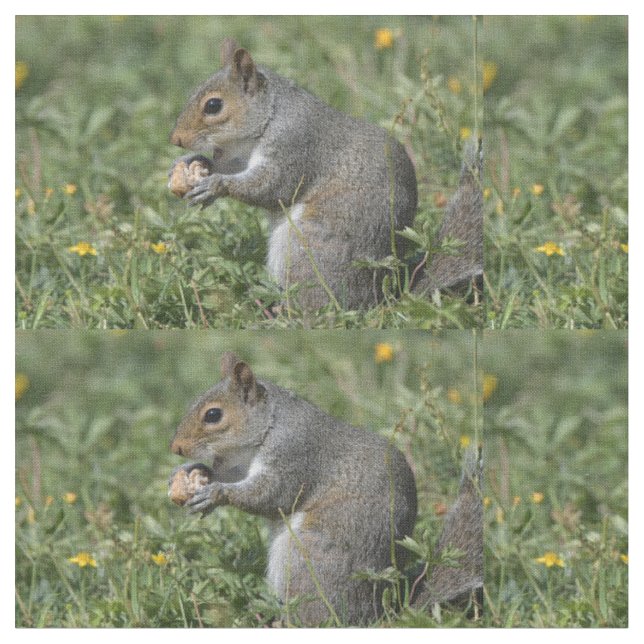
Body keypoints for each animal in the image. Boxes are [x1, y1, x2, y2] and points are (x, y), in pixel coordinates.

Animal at [168, 38, 483, 311]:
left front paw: (215, 185)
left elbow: (272, 187)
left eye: (213, 105)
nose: (176, 139)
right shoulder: (240, 156)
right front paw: (194, 163)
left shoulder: (296, 146)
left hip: (307, 248)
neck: (270, 116)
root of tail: (377, 300)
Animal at [168, 352, 483, 626]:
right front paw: (194, 472)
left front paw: (215, 493)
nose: (176, 448)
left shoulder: (296, 456)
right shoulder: (241, 464)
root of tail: (374, 616)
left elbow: (272, 495)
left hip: (305, 558)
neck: (269, 425)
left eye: (213, 415)